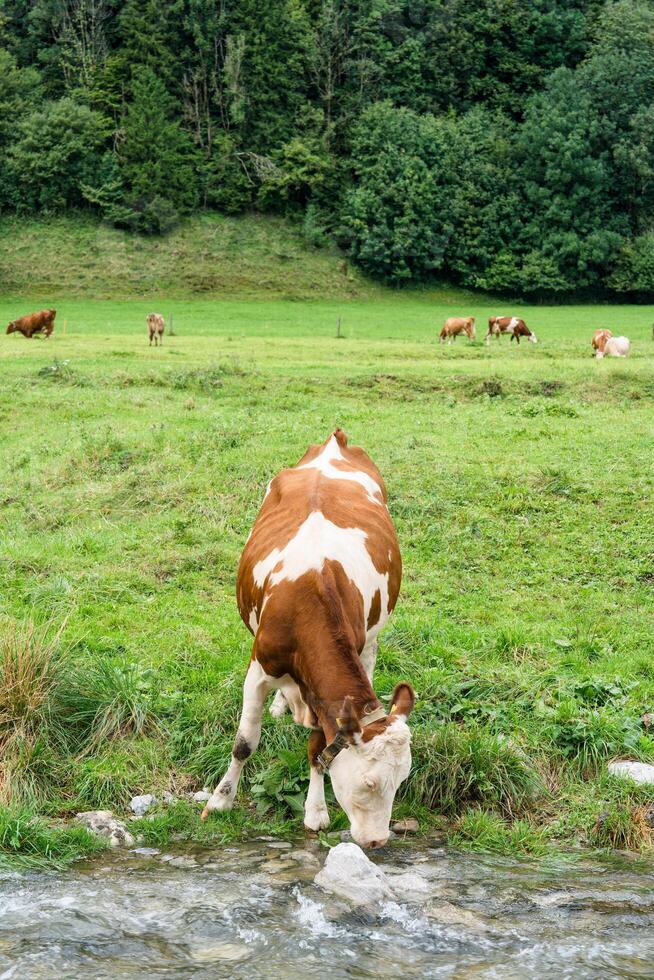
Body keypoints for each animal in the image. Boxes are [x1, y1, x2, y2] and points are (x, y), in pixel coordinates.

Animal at [201, 428, 416, 848]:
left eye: (401, 782)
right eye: (370, 783)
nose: (377, 841)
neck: (310, 598)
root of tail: (335, 442)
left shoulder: (325, 695)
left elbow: (318, 750)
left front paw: (315, 812)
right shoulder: (258, 669)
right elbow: (244, 742)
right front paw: (220, 800)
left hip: (371, 638)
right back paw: (280, 705)